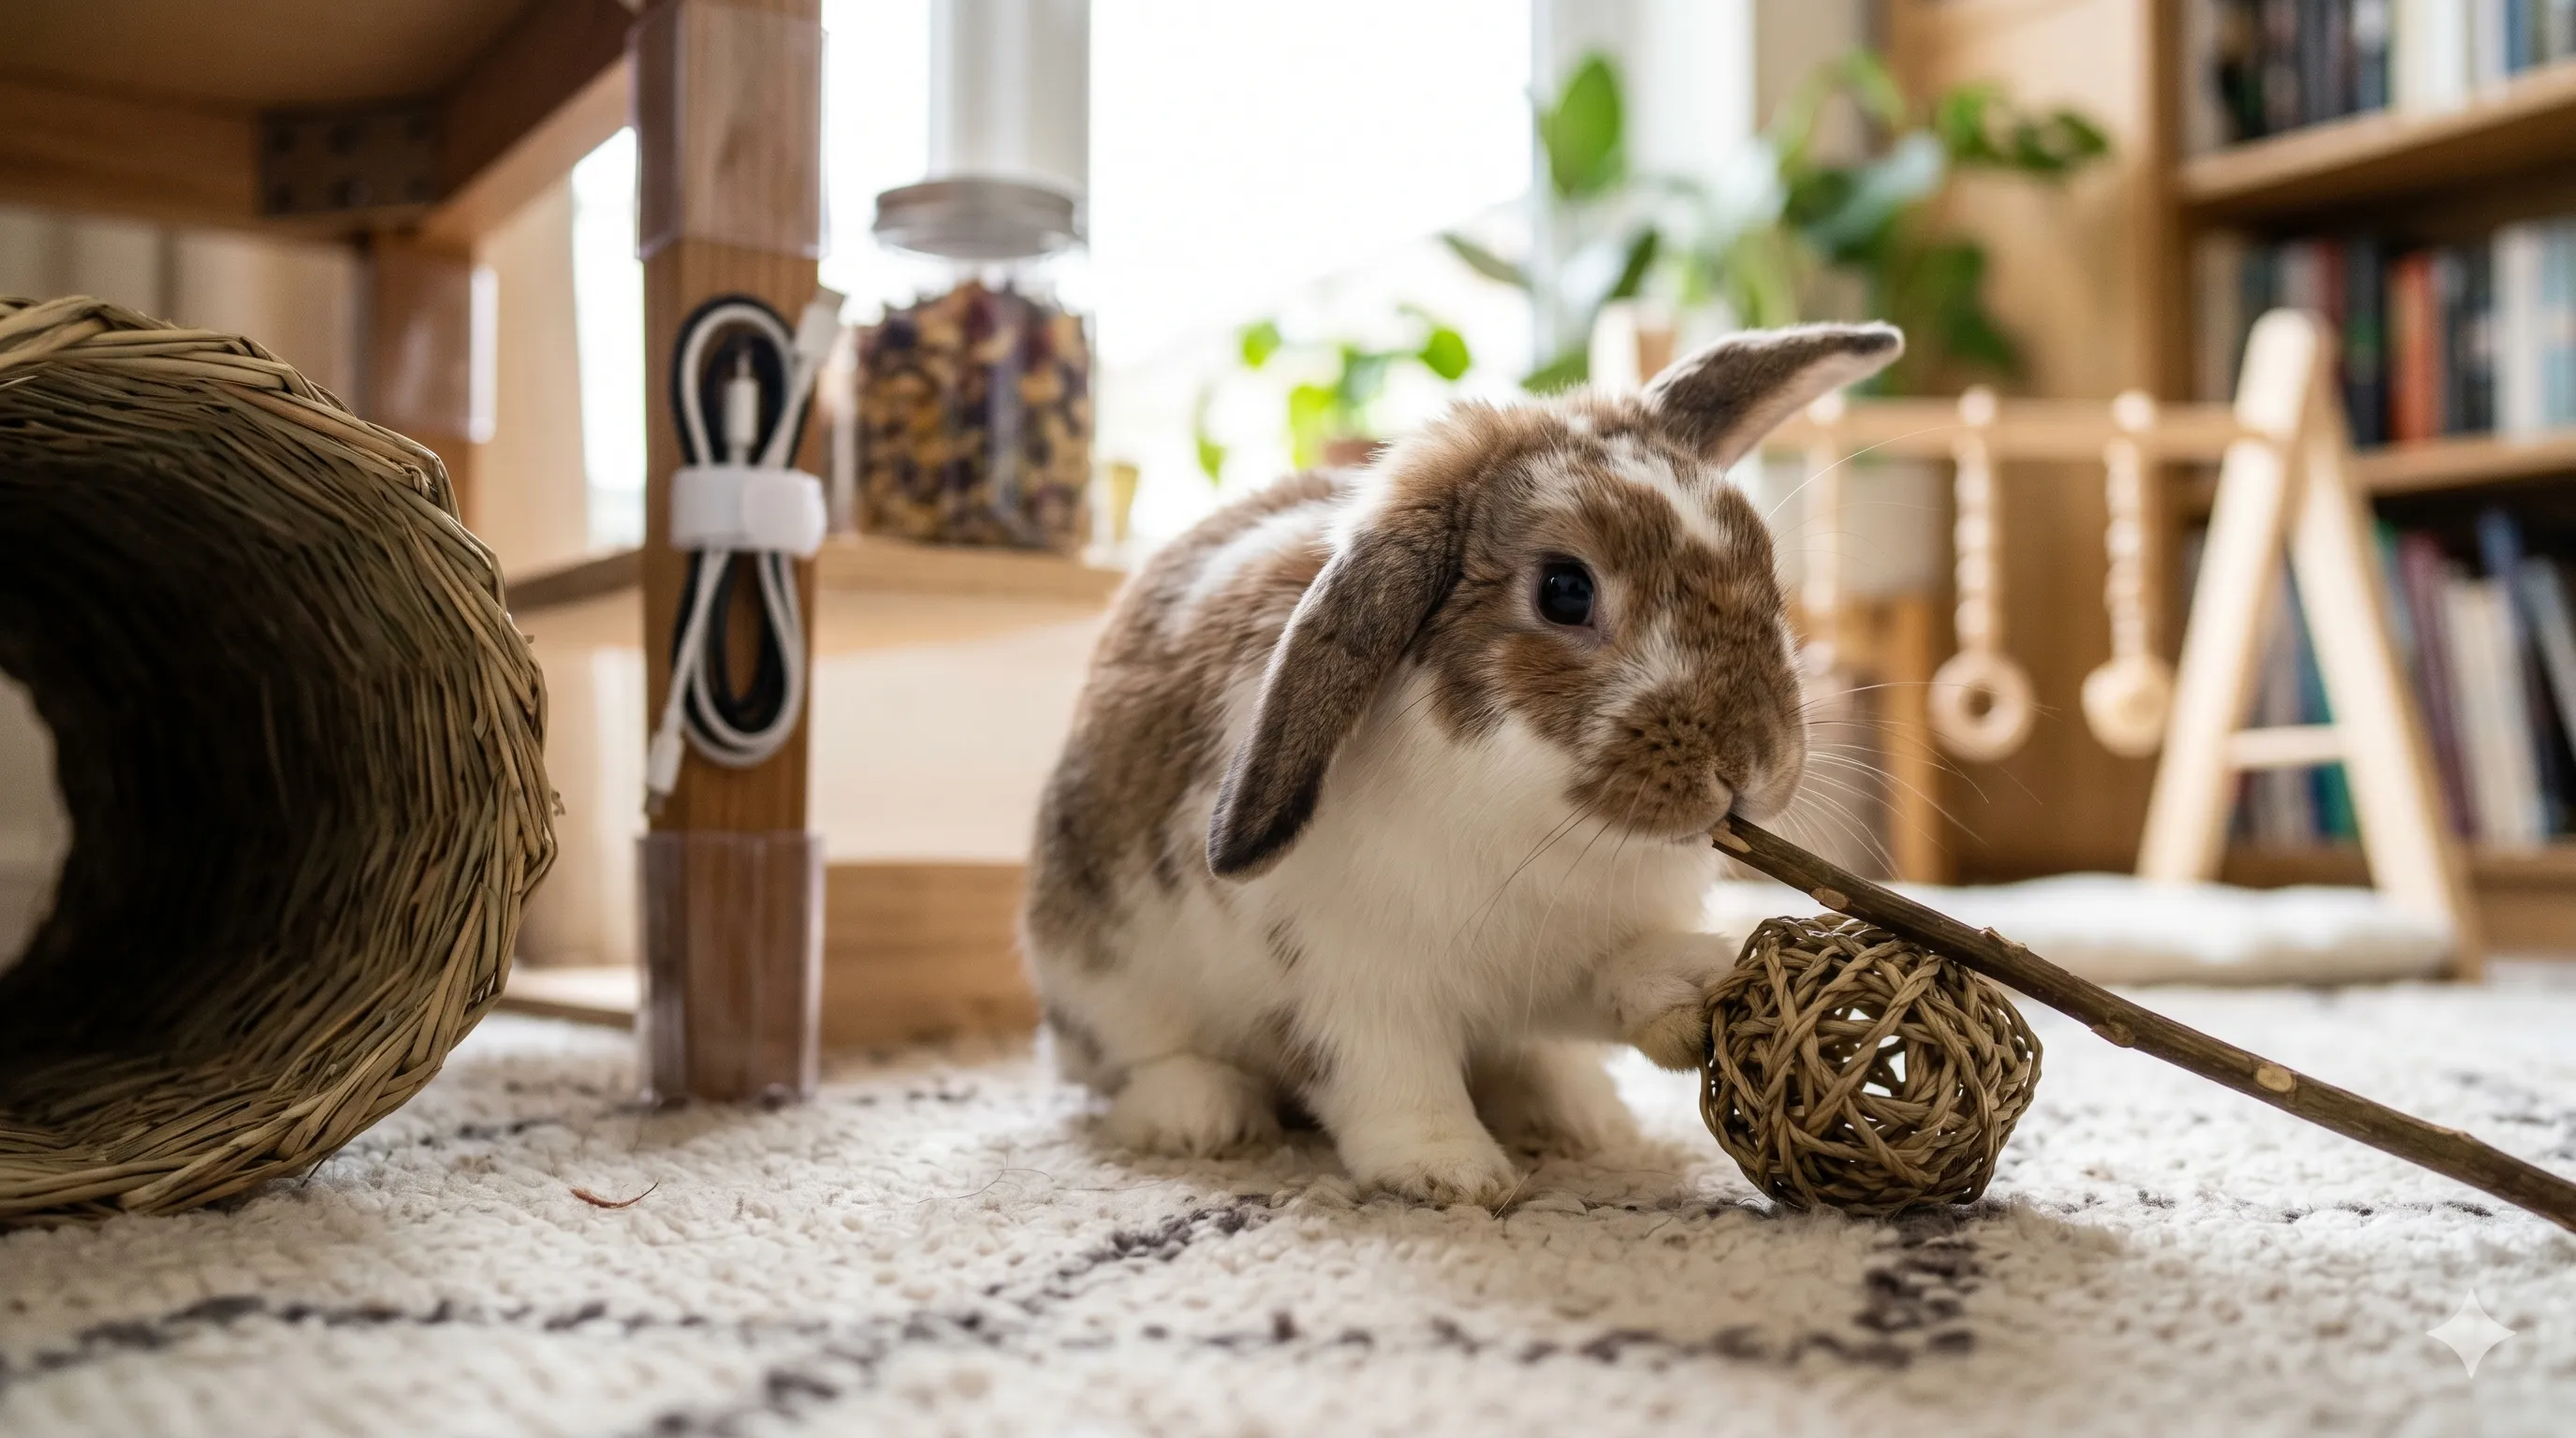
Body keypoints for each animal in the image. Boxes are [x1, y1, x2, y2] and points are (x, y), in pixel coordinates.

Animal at [1022, 322, 1902, 1205]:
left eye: (1763, 561)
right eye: (1564, 590)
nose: (1755, 761)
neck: (1534, 817)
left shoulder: (1557, 963)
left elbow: (1600, 991)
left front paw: (1690, 985)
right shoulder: (1353, 985)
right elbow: (1389, 1075)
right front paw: (1451, 1175)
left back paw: (1580, 1115)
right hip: (1102, 973)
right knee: (1133, 1061)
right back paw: (1199, 1116)